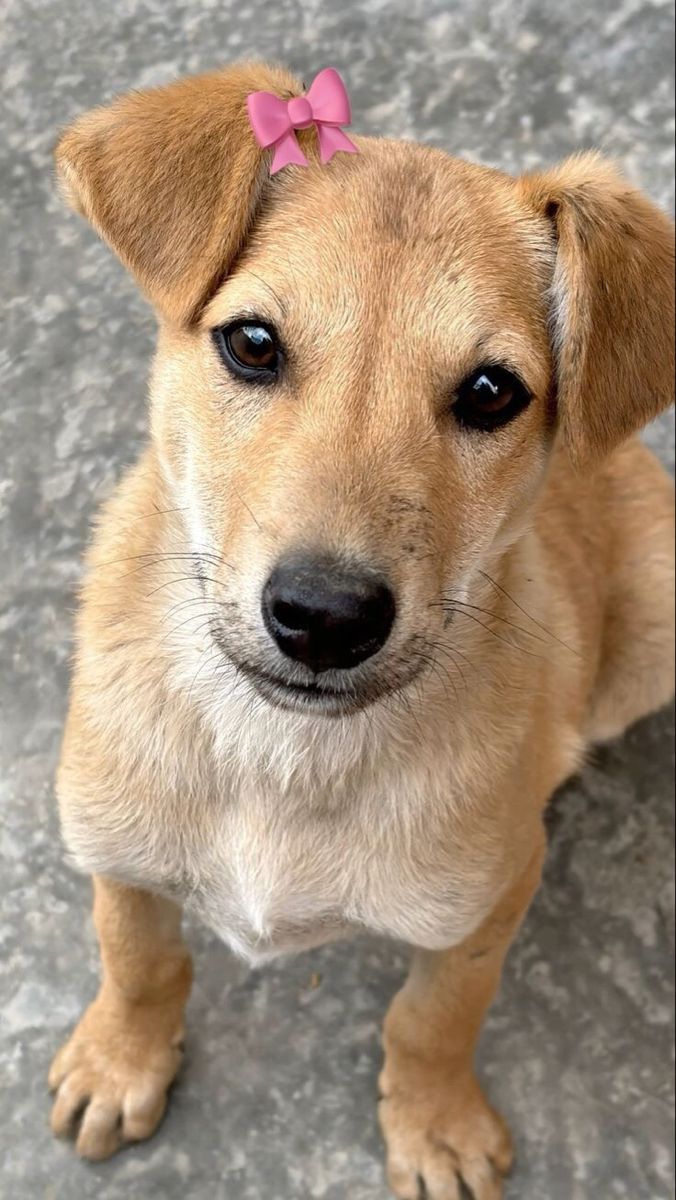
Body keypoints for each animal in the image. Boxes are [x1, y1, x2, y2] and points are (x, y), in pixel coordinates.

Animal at [47, 60, 676, 1195]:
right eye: (252, 343)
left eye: (492, 392)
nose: (325, 618)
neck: (279, 754)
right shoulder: (112, 844)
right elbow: (138, 956)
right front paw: (120, 1061)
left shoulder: (479, 915)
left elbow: (432, 1018)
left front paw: (432, 1123)